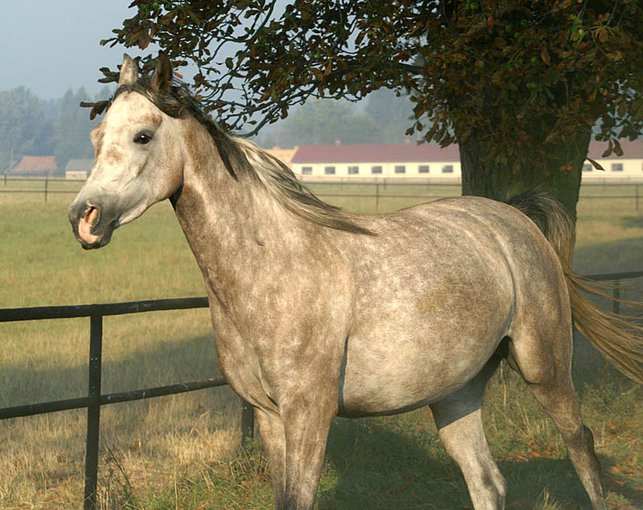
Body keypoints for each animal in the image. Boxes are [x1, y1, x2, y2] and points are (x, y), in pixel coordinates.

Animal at [68, 54, 642, 510]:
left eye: (143, 136)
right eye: (95, 138)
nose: (84, 218)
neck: (272, 269)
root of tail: (515, 219)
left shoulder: (309, 414)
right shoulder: (269, 417)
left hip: (546, 367)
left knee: (583, 451)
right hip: (455, 394)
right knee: (488, 483)